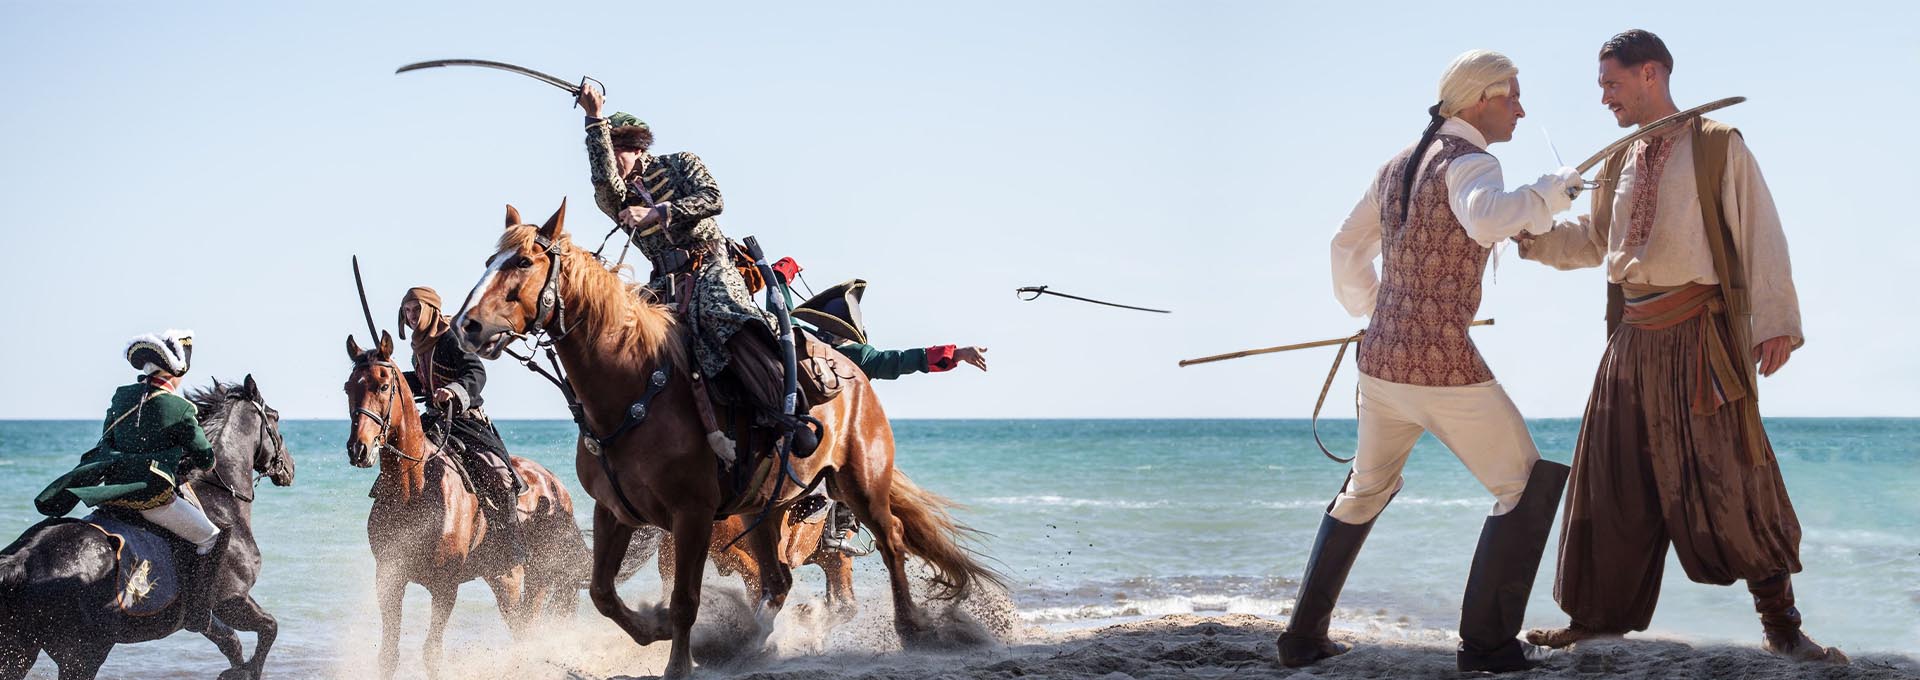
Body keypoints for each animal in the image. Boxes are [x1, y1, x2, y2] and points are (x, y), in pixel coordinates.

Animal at [0, 376, 295, 680]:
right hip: (82, 655)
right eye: (275, 417)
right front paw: (249, 671)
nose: (289, 468)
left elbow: (231, 643)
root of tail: (22, 559)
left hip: (19, 651)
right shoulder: (231, 600)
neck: (220, 500)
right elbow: (269, 628)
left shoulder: (200, 616)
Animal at [341, 334, 587, 680]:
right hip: (505, 579)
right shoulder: (389, 579)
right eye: (348, 387)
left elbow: (432, 654)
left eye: (383, 385)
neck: (414, 489)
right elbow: (389, 655)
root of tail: (557, 489)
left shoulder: (445, 588)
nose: (358, 449)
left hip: (535, 577)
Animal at [455, 203, 998, 680]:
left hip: (860, 483)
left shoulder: (691, 515)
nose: (467, 326)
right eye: (488, 263)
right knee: (778, 579)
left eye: (523, 262)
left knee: (891, 543)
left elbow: (685, 601)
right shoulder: (614, 512)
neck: (636, 387)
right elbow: (602, 592)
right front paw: (652, 629)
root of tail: (853, 369)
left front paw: (677, 665)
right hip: (768, 508)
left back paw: (910, 630)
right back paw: (745, 644)